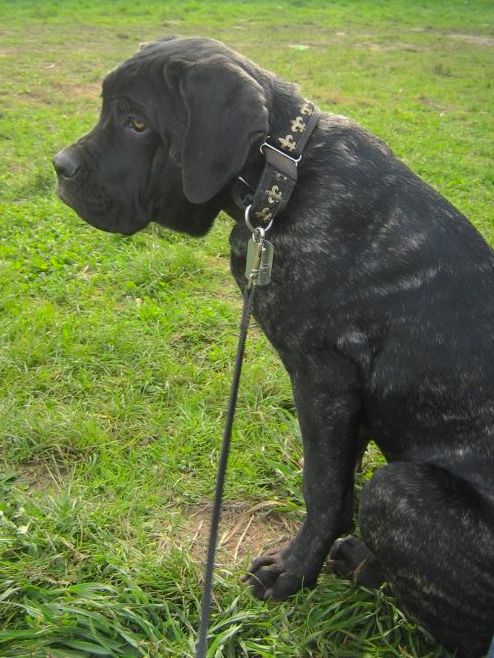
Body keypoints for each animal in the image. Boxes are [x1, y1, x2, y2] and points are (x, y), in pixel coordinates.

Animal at [52, 37, 492, 656]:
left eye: (137, 124)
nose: (59, 167)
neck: (280, 172)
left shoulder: (324, 378)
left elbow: (324, 487)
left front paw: (293, 572)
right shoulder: (345, 400)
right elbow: (338, 482)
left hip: (400, 488)